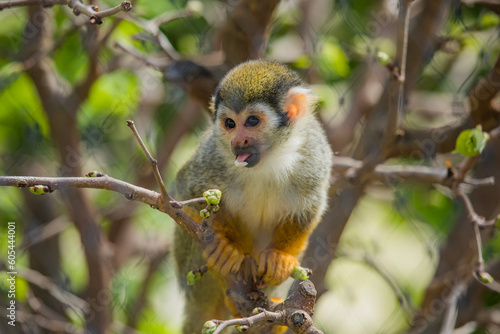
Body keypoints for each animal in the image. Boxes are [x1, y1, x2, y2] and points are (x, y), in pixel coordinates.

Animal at [172, 59, 332, 332]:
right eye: (230, 124)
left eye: (253, 121)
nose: (238, 141)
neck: (270, 159)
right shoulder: (213, 153)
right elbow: (186, 192)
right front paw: (228, 247)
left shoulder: (313, 153)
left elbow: (308, 210)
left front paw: (280, 257)